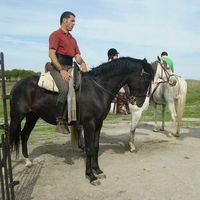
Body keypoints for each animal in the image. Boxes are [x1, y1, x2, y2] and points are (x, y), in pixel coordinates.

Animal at [9, 57, 153, 185]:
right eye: (146, 79)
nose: (140, 103)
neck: (98, 89)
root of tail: (18, 84)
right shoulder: (89, 124)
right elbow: (89, 148)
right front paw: (91, 176)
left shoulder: (98, 123)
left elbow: (95, 147)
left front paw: (98, 171)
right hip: (17, 117)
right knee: (12, 138)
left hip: (32, 116)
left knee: (24, 135)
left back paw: (28, 161)